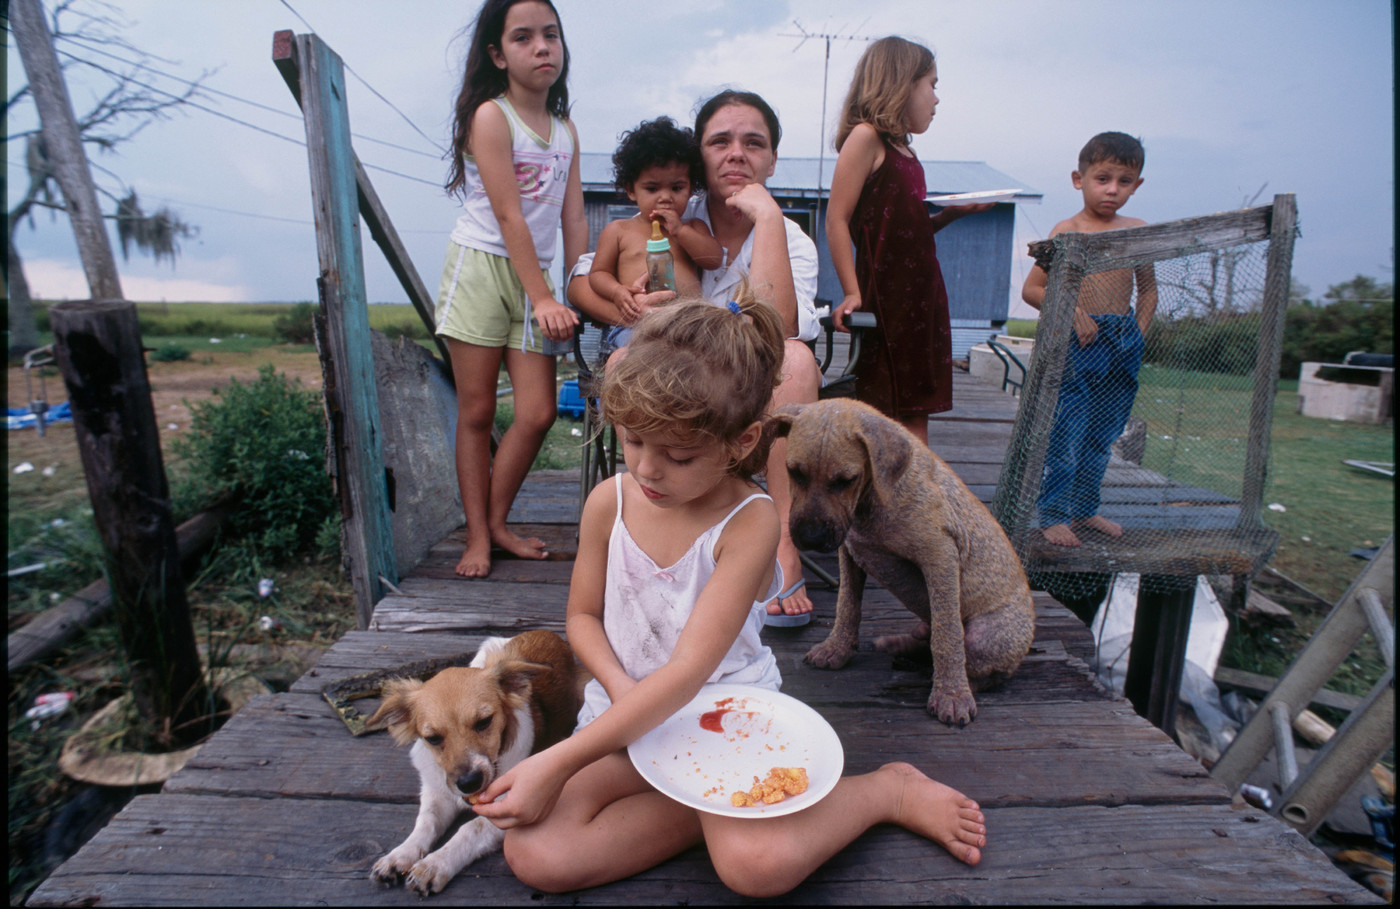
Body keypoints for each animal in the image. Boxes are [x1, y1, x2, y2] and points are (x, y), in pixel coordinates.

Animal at [366, 627, 579, 896]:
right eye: (432, 738)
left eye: (484, 722)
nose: (469, 783)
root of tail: (547, 632)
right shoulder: (438, 792)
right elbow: (425, 822)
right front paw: (399, 855)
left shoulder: (512, 809)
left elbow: (468, 829)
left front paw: (434, 865)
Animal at [772, 400, 1036, 728]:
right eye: (793, 472)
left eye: (845, 481)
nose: (810, 537)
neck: (873, 495)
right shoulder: (850, 551)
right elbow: (847, 605)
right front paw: (838, 647)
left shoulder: (940, 554)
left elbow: (948, 635)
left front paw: (951, 695)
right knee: (928, 636)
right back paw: (900, 646)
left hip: (988, 637)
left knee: (981, 663)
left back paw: (957, 681)